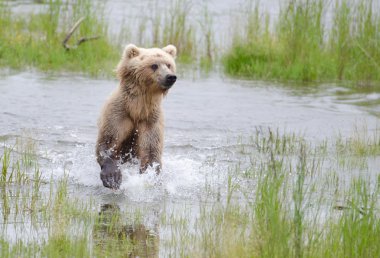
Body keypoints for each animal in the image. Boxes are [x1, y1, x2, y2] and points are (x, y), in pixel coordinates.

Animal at [95, 43, 177, 189]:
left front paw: (149, 176)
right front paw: (112, 177)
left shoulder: (150, 119)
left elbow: (150, 149)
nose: (170, 77)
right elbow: (109, 141)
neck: (137, 108)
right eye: (154, 65)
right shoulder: (119, 113)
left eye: (169, 64)